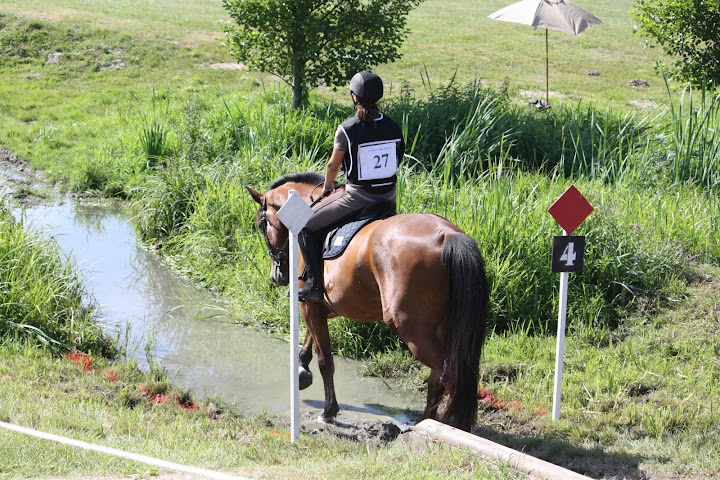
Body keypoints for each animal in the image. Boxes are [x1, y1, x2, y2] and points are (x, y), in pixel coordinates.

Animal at [246, 172, 489, 431]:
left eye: (261, 224)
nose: (277, 276)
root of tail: (448, 235)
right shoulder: (321, 305)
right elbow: (310, 340)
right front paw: (302, 370)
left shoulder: (308, 305)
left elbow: (325, 360)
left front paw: (328, 411)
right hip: (443, 327)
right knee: (441, 377)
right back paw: (430, 422)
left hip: (411, 328)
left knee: (447, 373)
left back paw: (434, 425)